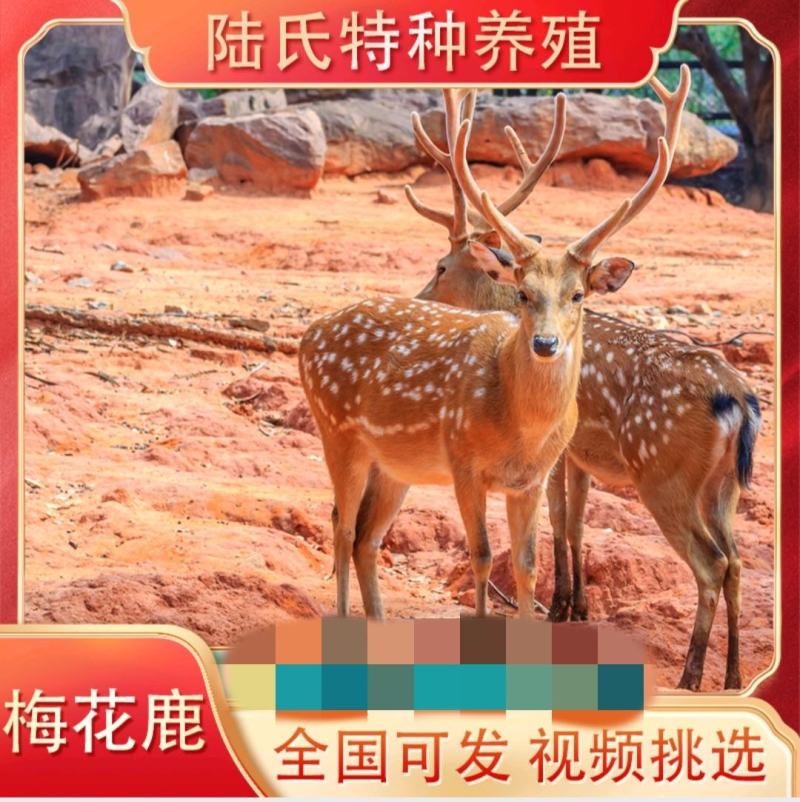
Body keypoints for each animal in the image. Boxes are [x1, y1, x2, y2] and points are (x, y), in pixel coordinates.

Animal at [299, 89, 674, 643]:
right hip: (337, 432)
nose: (545, 343)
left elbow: (526, 565)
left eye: (578, 294)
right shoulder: (464, 465)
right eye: (523, 293)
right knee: (342, 528)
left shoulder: (533, 480)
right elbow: (480, 556)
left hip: (393, 464)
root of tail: (308, 335)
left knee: (366, 536)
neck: (519, 428)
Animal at [402, 71, 762, 691]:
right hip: (726, 487)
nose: (418, 296)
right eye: (525, 290)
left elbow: (558, 519)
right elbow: (575, 522)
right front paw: (575, 606)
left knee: (712, 563)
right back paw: (734, 675)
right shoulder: (584, 454)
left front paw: (561, 606)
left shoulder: (563, 450)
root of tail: (737, 399)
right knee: (738, 561)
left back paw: (690, 676)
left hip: (665, 476)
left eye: (440, 268)